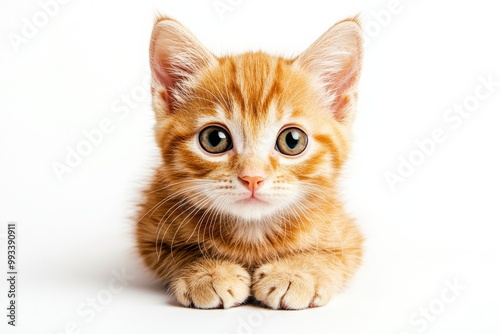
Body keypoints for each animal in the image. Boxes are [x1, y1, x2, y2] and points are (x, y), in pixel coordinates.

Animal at [137, 15, 364, 308]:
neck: (252, 234)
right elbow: (175, 252)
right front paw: (208, 272)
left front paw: (297, 272)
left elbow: (334, 256)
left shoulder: (348, 235)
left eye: (292, 141)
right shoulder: (148, 228)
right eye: (214, 139)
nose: (252, 177)